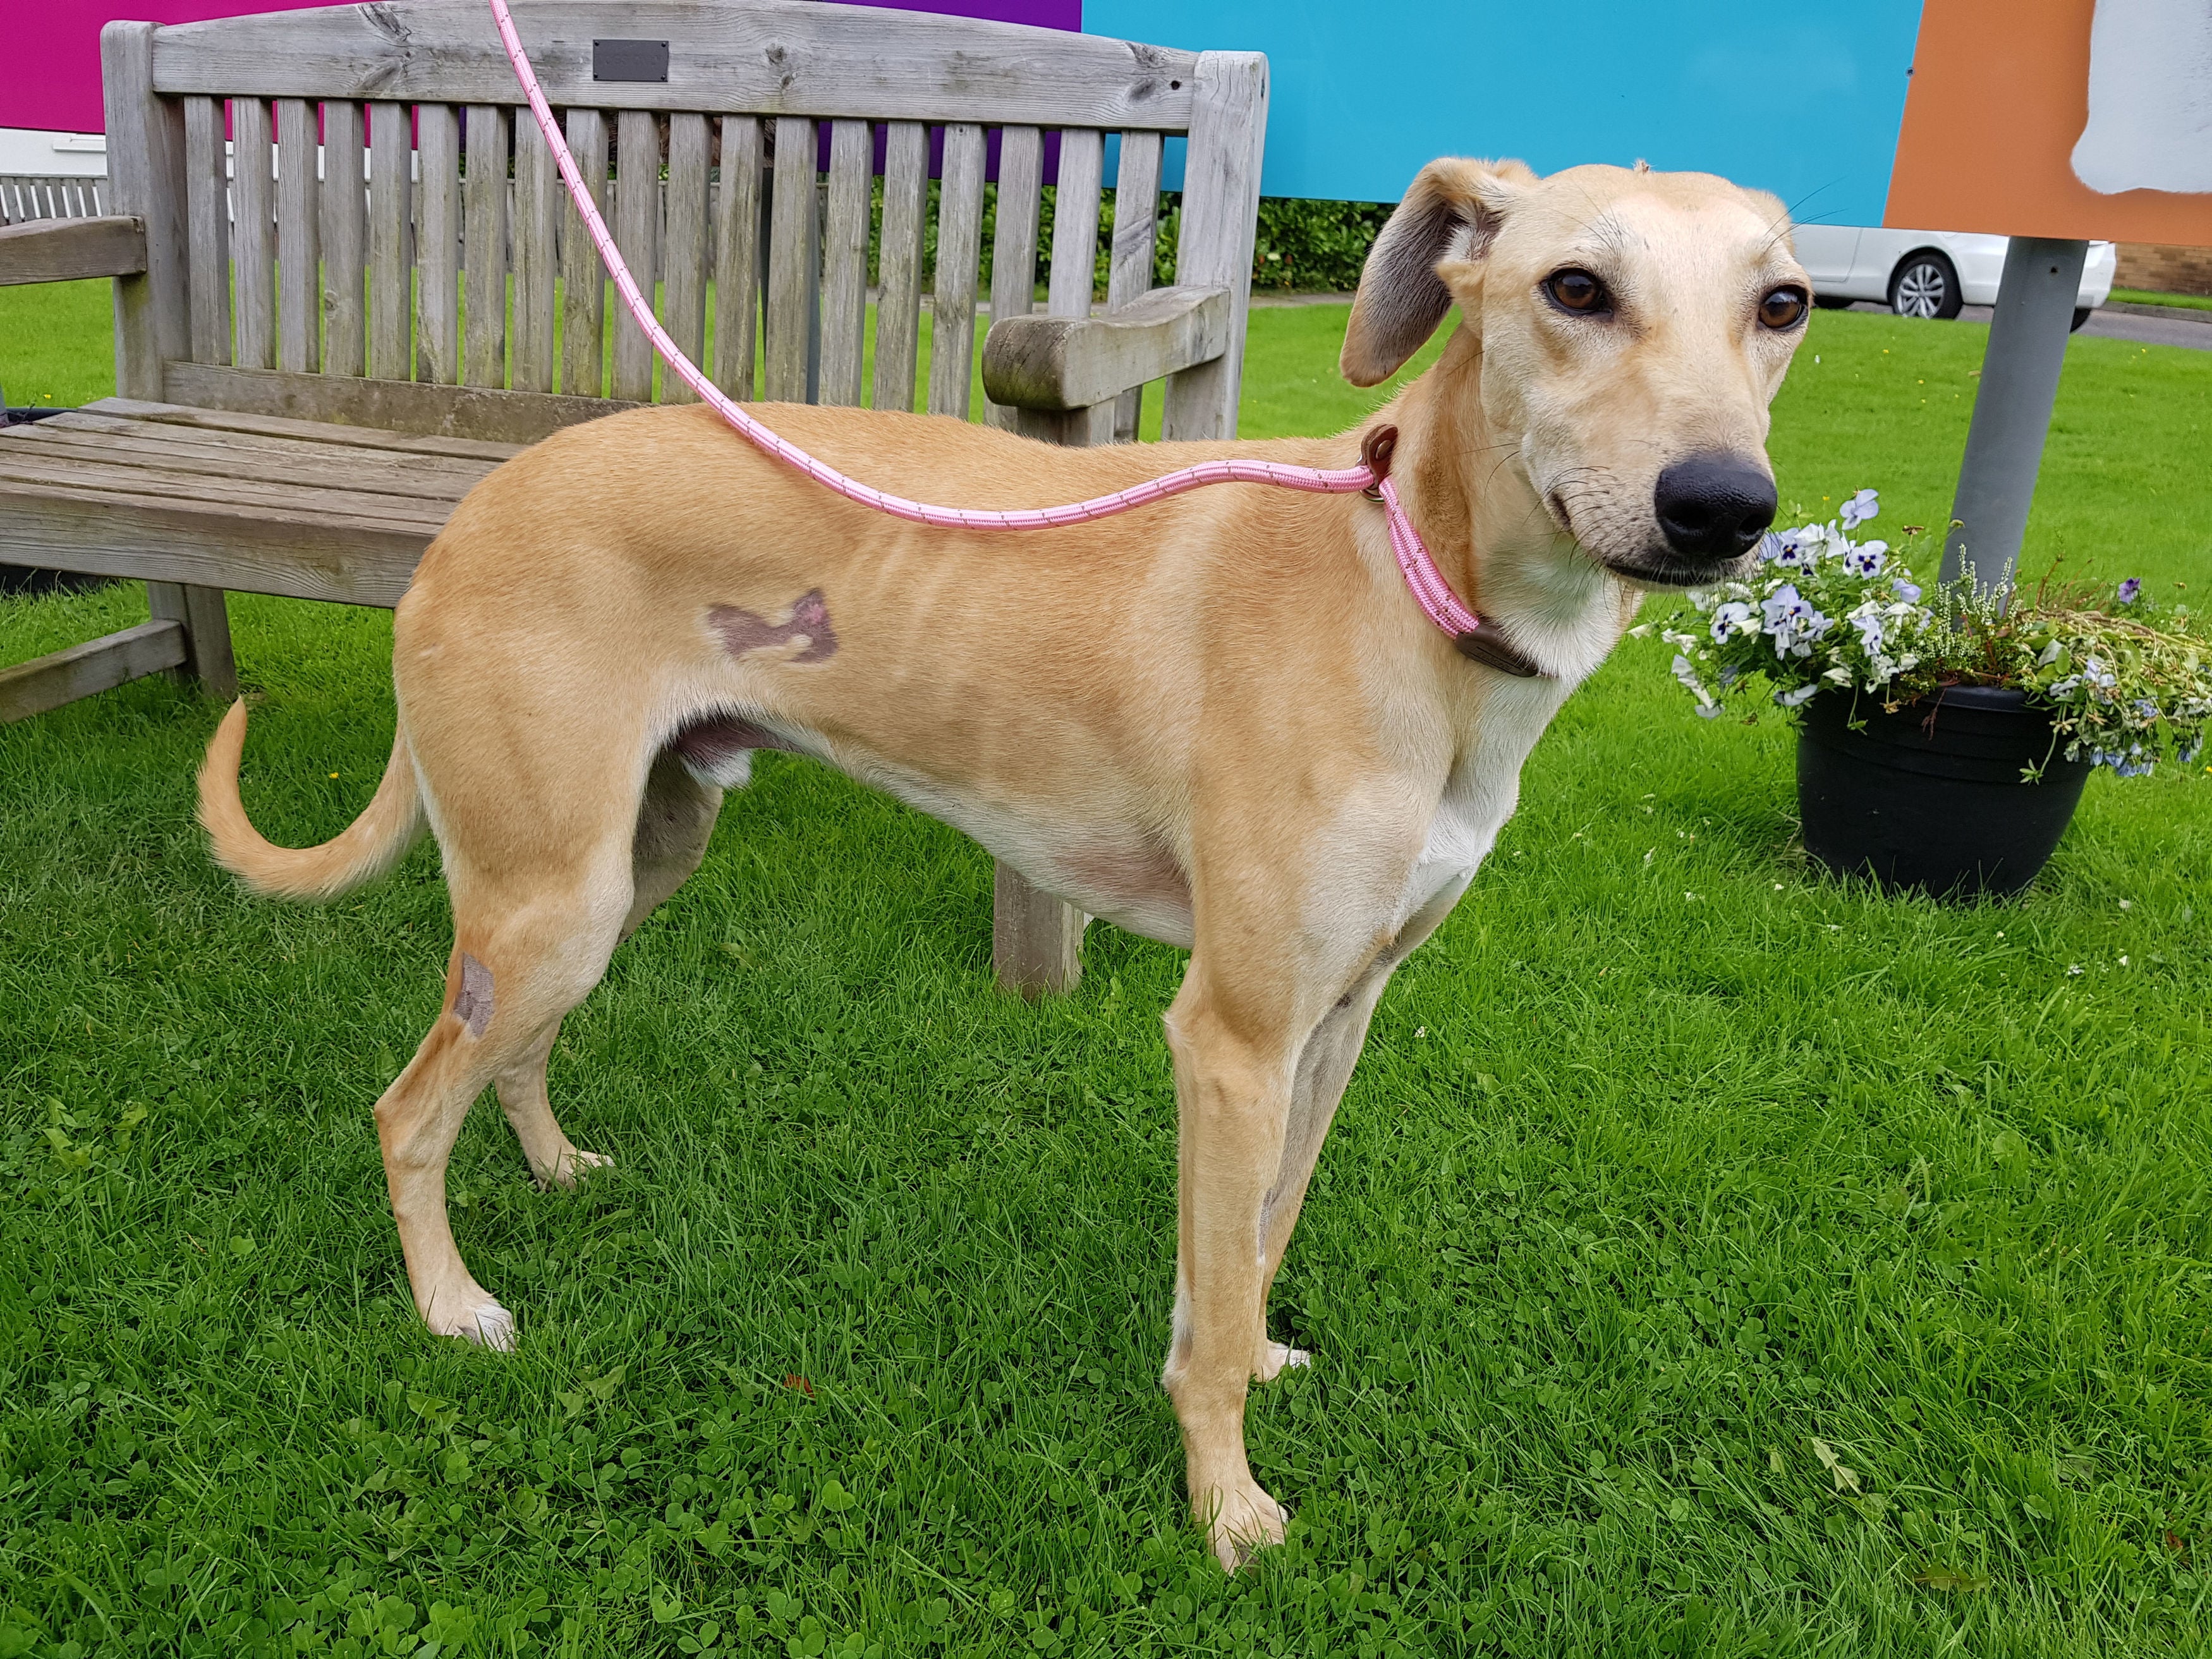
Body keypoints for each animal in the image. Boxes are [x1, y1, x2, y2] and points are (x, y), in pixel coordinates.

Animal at [195, 155, 1814, 1575]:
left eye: (1785, 303)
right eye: (1575, 287)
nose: (1723, 508)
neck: (1412, 583)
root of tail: (477, 507)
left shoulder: (1338, 1018)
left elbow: (1256, 1247)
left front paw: (1256, 1360)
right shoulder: (1231, 1035)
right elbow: (1209, 1313)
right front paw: (1225, 1504)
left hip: (624, 865)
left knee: (511, 1053)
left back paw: (550, 1166)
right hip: (549, 897)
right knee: (407, 1109)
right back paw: (450, 1305)